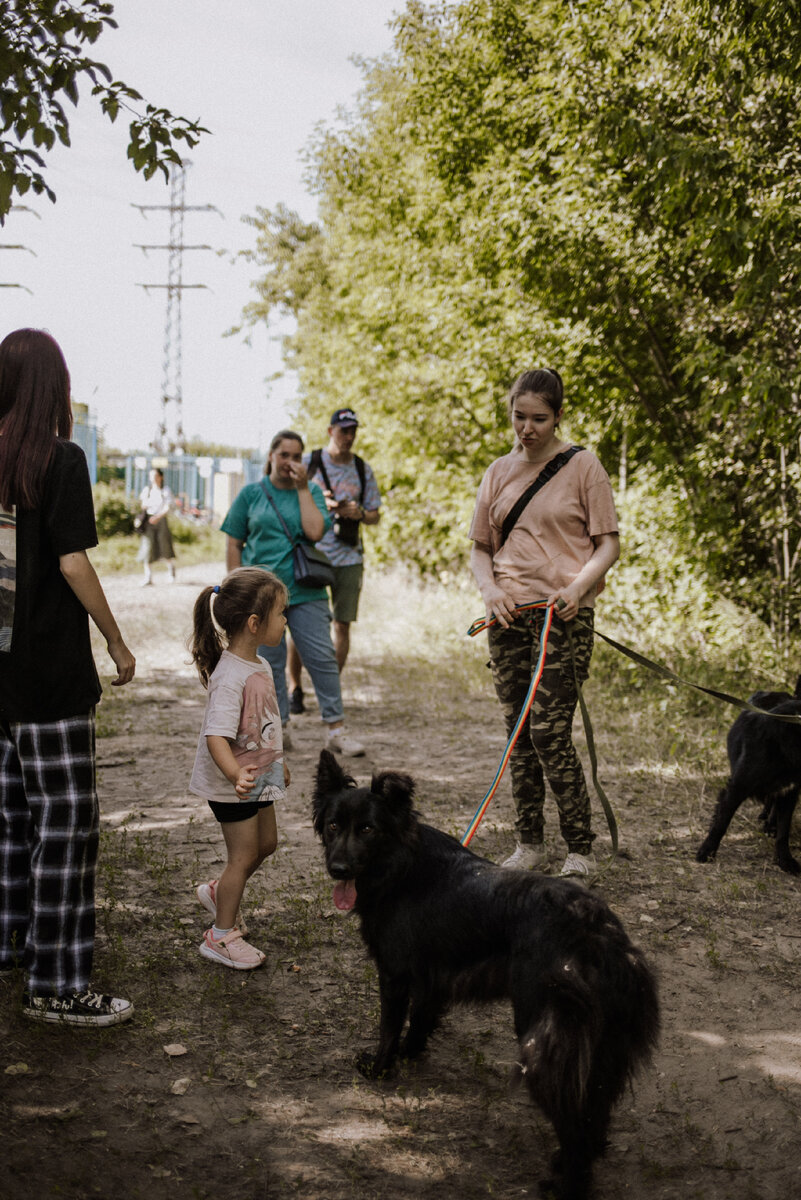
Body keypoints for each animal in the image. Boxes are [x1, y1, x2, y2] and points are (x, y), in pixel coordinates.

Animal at [311, 748, 657, 1200]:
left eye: (367, 829)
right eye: (333, 825)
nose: (337, 868)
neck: (400, 864)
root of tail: (600, 931)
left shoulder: (395, 974)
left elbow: (388, 1025)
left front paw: (381, 1067)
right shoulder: (430, 976)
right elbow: (420, 1020)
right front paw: (410, 1052)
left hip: (543, 1041)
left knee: (575, 1126)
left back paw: (565, 1185)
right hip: (598, 1052)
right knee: (592, 1118)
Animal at [695, 681, 801, 878]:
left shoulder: (790, 791)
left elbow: (784, 832)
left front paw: (785, 861)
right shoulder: (737, 787)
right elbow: (721, 821)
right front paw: (707, 851)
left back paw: (770, 824)